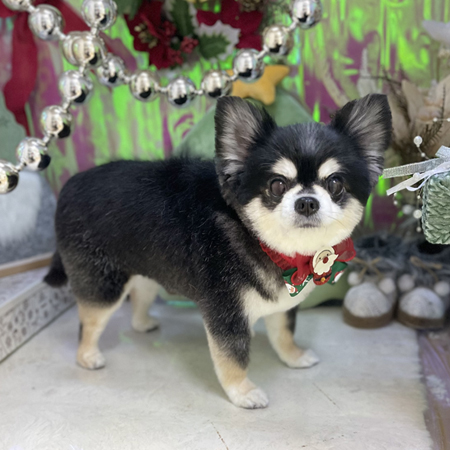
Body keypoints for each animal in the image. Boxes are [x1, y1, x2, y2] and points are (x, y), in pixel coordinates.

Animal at [45, 94, 392, 409]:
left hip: (145, 266)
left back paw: (143, 324)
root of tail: (69, 186)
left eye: (335, 184)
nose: (307, 202)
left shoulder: (281, 304)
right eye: (277, 185)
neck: (262, 243)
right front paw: (243, 392)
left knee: (140, 293)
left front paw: (293, 357)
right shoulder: (227, 315)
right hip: (103, 285)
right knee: (89, 323)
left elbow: (283, 333)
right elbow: (233, 357)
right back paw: (88, 356)